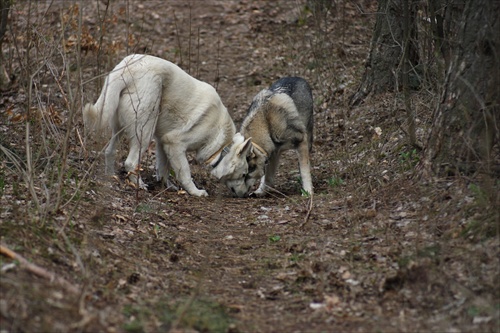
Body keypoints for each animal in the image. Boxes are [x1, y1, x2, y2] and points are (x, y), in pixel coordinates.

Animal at [84, 53, 254, 196]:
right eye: (244, 174)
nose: (246, 194)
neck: (222, 146)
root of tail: (127, 68)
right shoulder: (174, 143)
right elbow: (184, 173)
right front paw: (196, 192)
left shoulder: (162, 142)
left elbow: (163, 168)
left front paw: (168, 186)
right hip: (144, 132)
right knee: (130, 163)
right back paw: (139, 185)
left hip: (118, 128)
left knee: (109, 151)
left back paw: (110, 176)